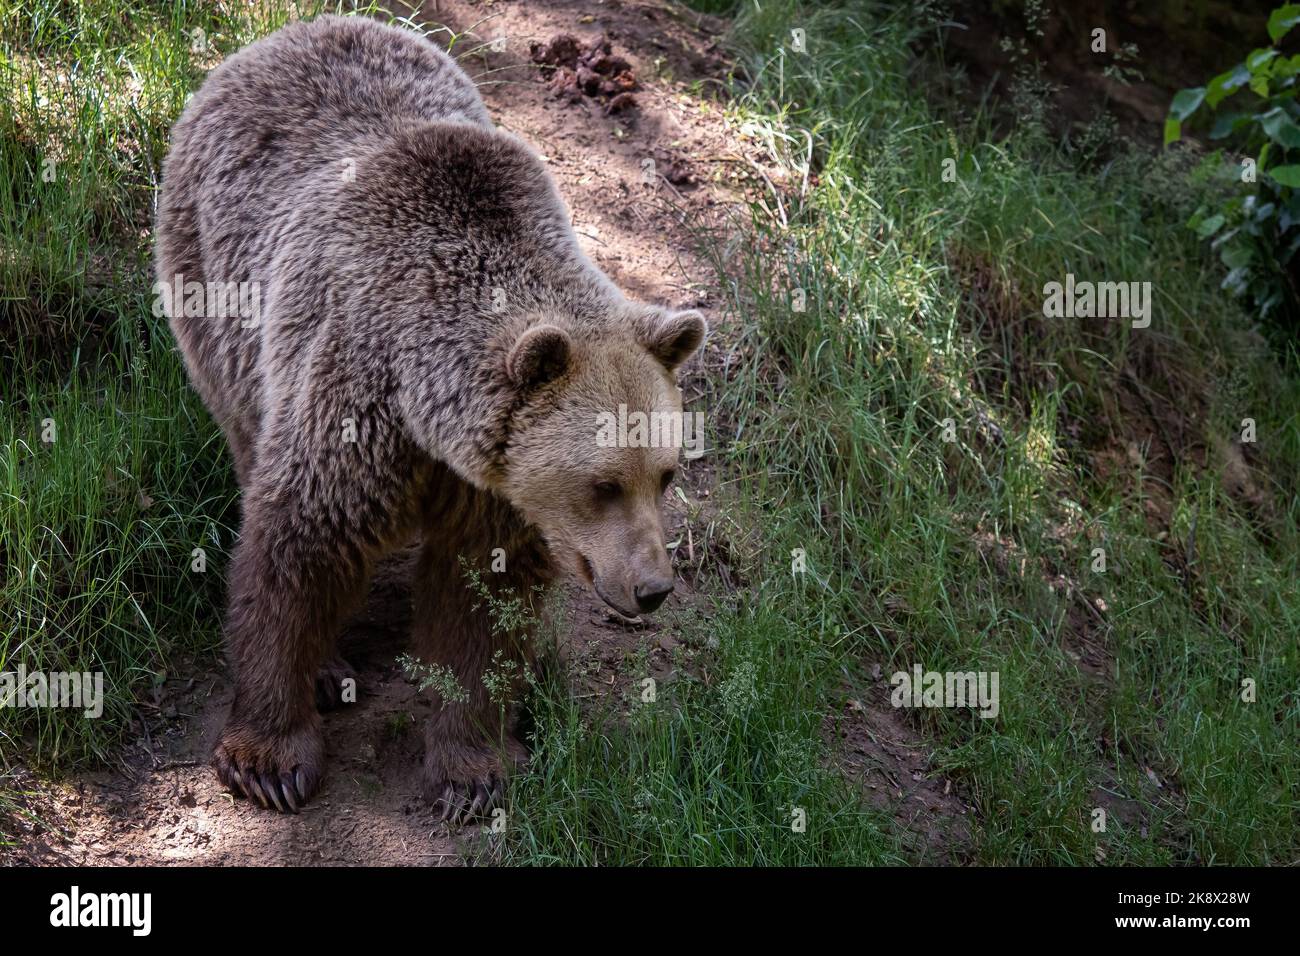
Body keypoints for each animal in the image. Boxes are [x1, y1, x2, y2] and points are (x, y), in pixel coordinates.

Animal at [156, 14, 707, 816]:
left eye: (664, 475)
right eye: (602, 484)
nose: (653, 588)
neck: (429, 413)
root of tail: (290, 32)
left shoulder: (495, 482)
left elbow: (481, 601)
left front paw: (471, 769)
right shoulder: (357, 394)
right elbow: (298, 546)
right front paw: (269, 757)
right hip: (214, 291)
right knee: (246, 432)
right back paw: (328, 667)